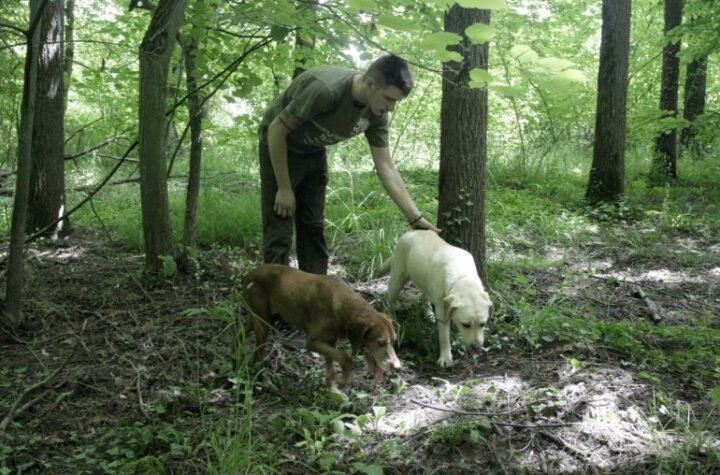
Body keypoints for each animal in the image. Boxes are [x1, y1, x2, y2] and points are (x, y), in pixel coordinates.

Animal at [240, 266, 400, 396]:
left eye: (393, 341)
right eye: (380, 343)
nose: (398, 368)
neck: (341, 302)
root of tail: (250, 273)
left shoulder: (330, 341)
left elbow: (331, 367)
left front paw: (333, 391)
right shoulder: (312, 343)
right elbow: (345, 357)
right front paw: (344, 379)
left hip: (257, 318)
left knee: (239, 333)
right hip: (262, 324)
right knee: (258, 357)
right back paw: (265, 381)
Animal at [380, 231, 492, 368]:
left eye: (483, 324)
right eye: (466, 325)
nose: (477, 348)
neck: (462, 277)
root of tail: (411, 232)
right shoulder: (442, 309)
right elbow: (444, 336)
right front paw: (446, 357)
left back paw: (428, 313)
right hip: (397, 277)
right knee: (390, 299)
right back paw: (391, 317)